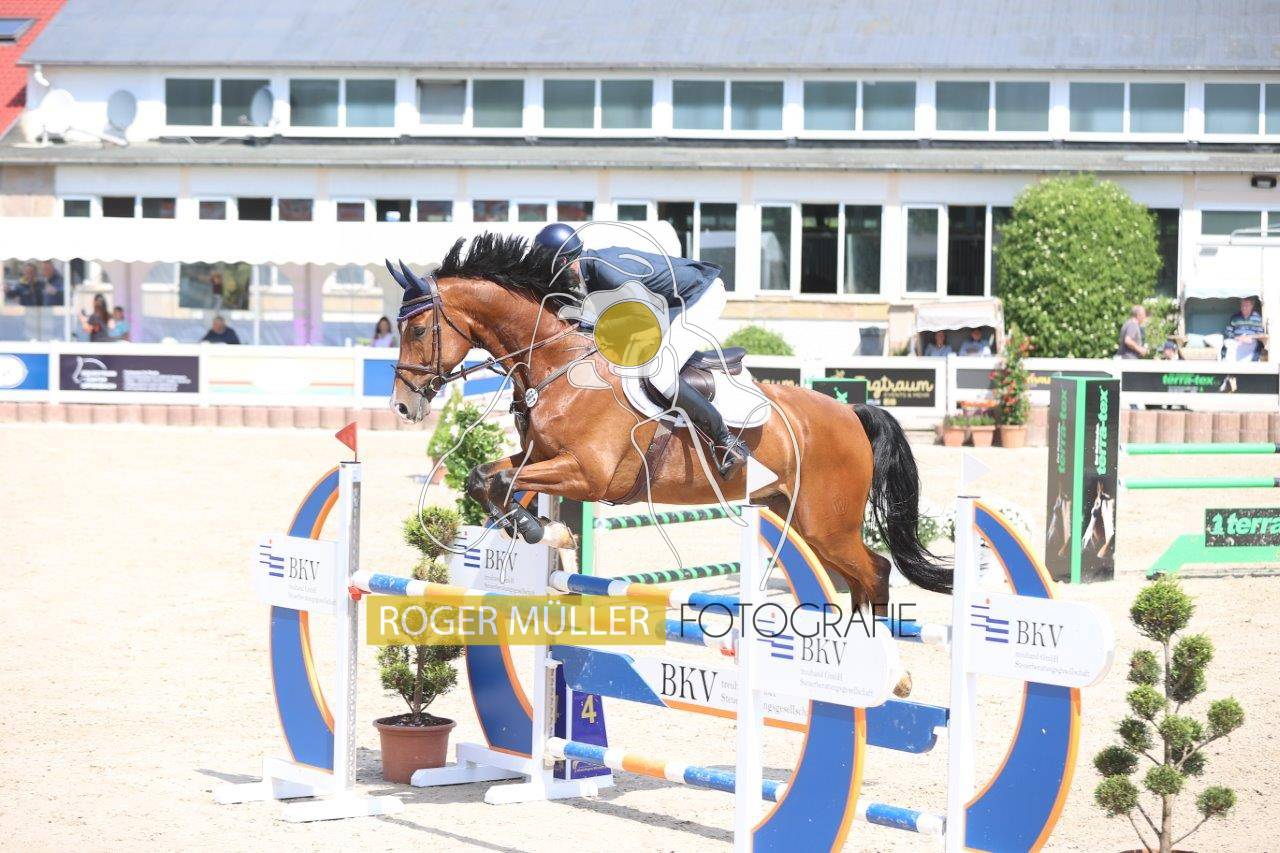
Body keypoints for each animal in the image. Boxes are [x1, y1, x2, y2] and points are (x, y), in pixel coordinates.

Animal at [388, 234, 950, 610]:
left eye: (417, 329)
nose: (403, 407)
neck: (557, 365)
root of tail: (850, 412)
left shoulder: (588, 473)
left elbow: (502, 480)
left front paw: (538, 529)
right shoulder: (542, 457)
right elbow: (485, 477)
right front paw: (538, 528)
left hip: (827, 523)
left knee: (875, 571)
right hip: (800, 518)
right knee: (859, 578)